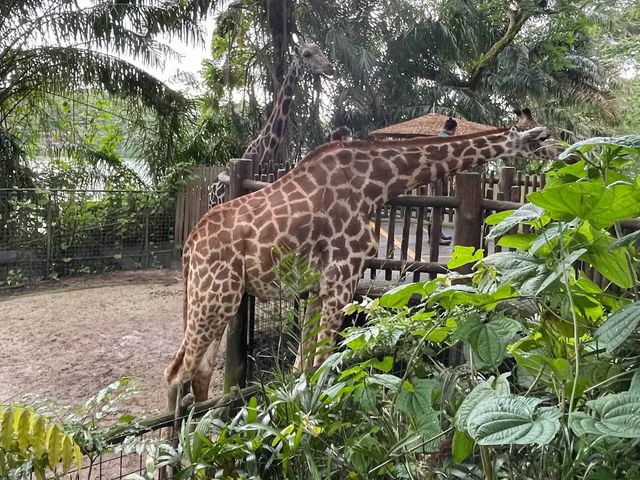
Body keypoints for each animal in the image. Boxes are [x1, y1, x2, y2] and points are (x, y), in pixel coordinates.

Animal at [166, 124, 564, 402]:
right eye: (544, 137)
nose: (569, 154)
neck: (376, 184)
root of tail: (189, 248)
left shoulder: (319, 284)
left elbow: (301, 370)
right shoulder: (344, 273)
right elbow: (321, 366)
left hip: (216, 299)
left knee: (197, 371)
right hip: (216, 297)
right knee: (177, 373)